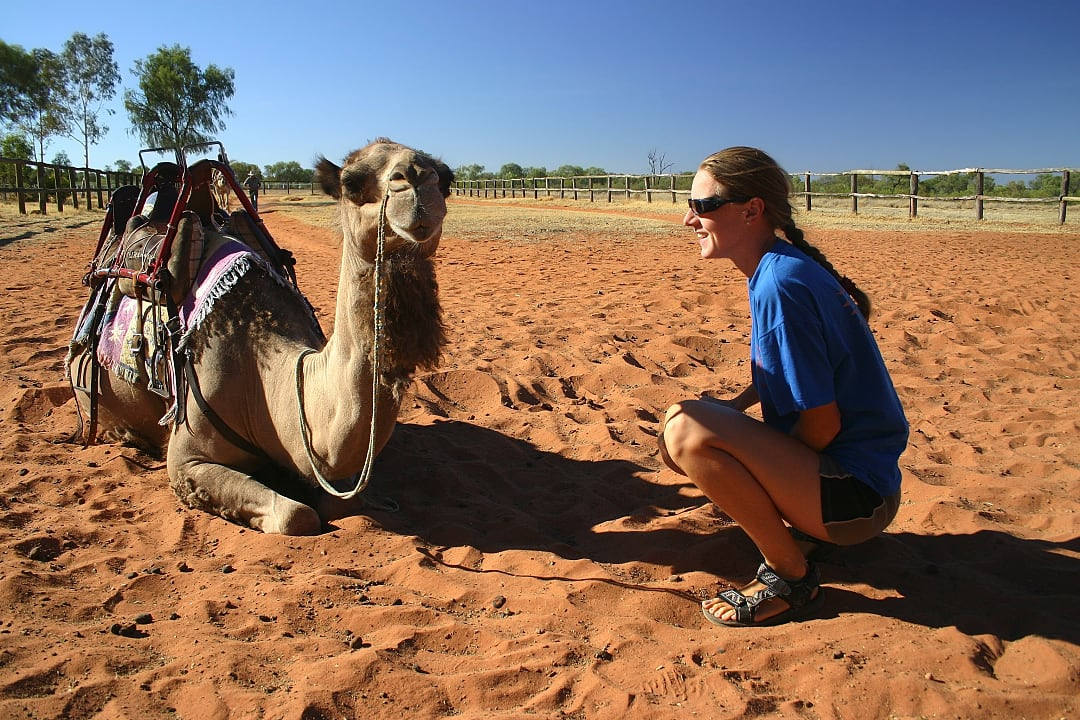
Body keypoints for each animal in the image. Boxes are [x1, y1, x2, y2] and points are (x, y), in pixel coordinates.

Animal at [69, 138, 452, 534]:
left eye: (447, 179)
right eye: (352, 183)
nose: (417, 178)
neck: (264, 377)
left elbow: (342, 500)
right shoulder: (186, 459)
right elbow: (296, 515)